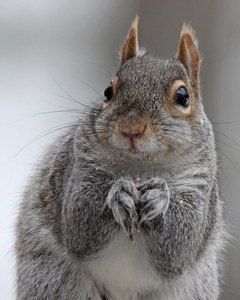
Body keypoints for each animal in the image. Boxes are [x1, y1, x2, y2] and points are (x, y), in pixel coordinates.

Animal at [15, 17, 225, 300]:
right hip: (51, 277)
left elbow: (180, 246)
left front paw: (159, 196)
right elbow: (78, 220)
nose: (131, 128)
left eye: (183, 97)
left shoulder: (199, 184)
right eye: (108, 91)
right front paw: (119, 193)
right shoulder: (78, 165)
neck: (141, 166)